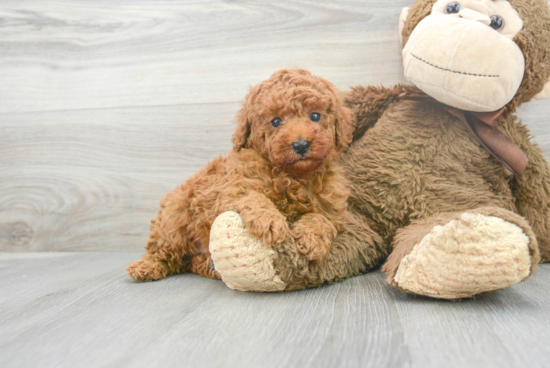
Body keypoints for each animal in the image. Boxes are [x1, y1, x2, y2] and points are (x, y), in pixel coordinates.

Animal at [127, 68, 356, 282]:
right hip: (175, 216)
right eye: (275, 121)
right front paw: (270, 222)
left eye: (315, 116)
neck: (293, 175)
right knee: (164, 249)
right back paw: (146, 267)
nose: (300, 145)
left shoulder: (332, 208)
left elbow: (321, 218)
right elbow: (253, 196)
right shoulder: (230, 188)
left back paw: (209, 267)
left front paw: (312, 240)